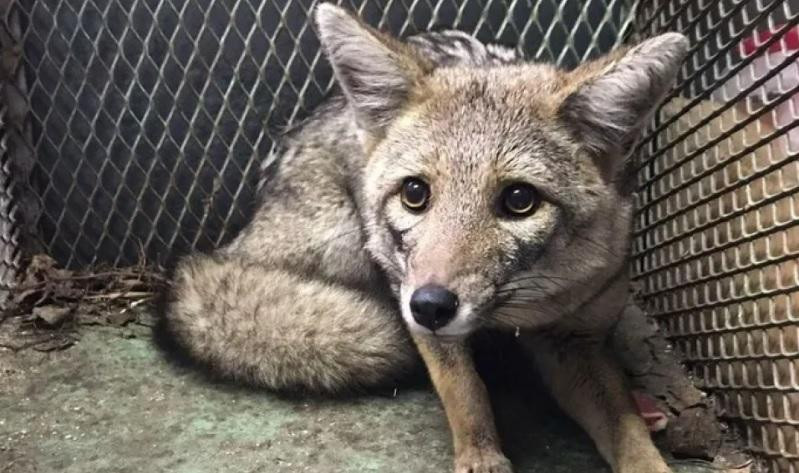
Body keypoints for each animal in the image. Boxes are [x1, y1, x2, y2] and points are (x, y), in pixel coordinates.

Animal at [159, 4, 692, 472]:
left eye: (520, 200)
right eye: (415, 193)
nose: (430, 306)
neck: (519, 311)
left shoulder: (576, 339)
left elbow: (625, 428)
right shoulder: (412, 295)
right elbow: (466, 391)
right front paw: (482, 457)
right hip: (349, 243)